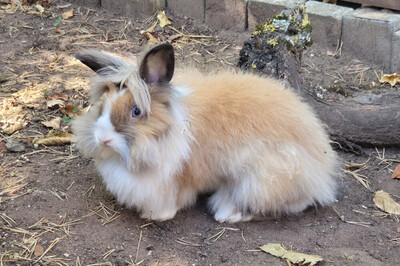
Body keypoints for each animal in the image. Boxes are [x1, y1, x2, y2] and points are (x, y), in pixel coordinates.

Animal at [72, 43, 338, 222]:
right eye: (102, 105)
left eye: (136, 111)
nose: (102, 138)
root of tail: (323, 173)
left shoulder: (170, 182)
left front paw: (155, 215)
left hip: (263, 178)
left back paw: (227, 213)